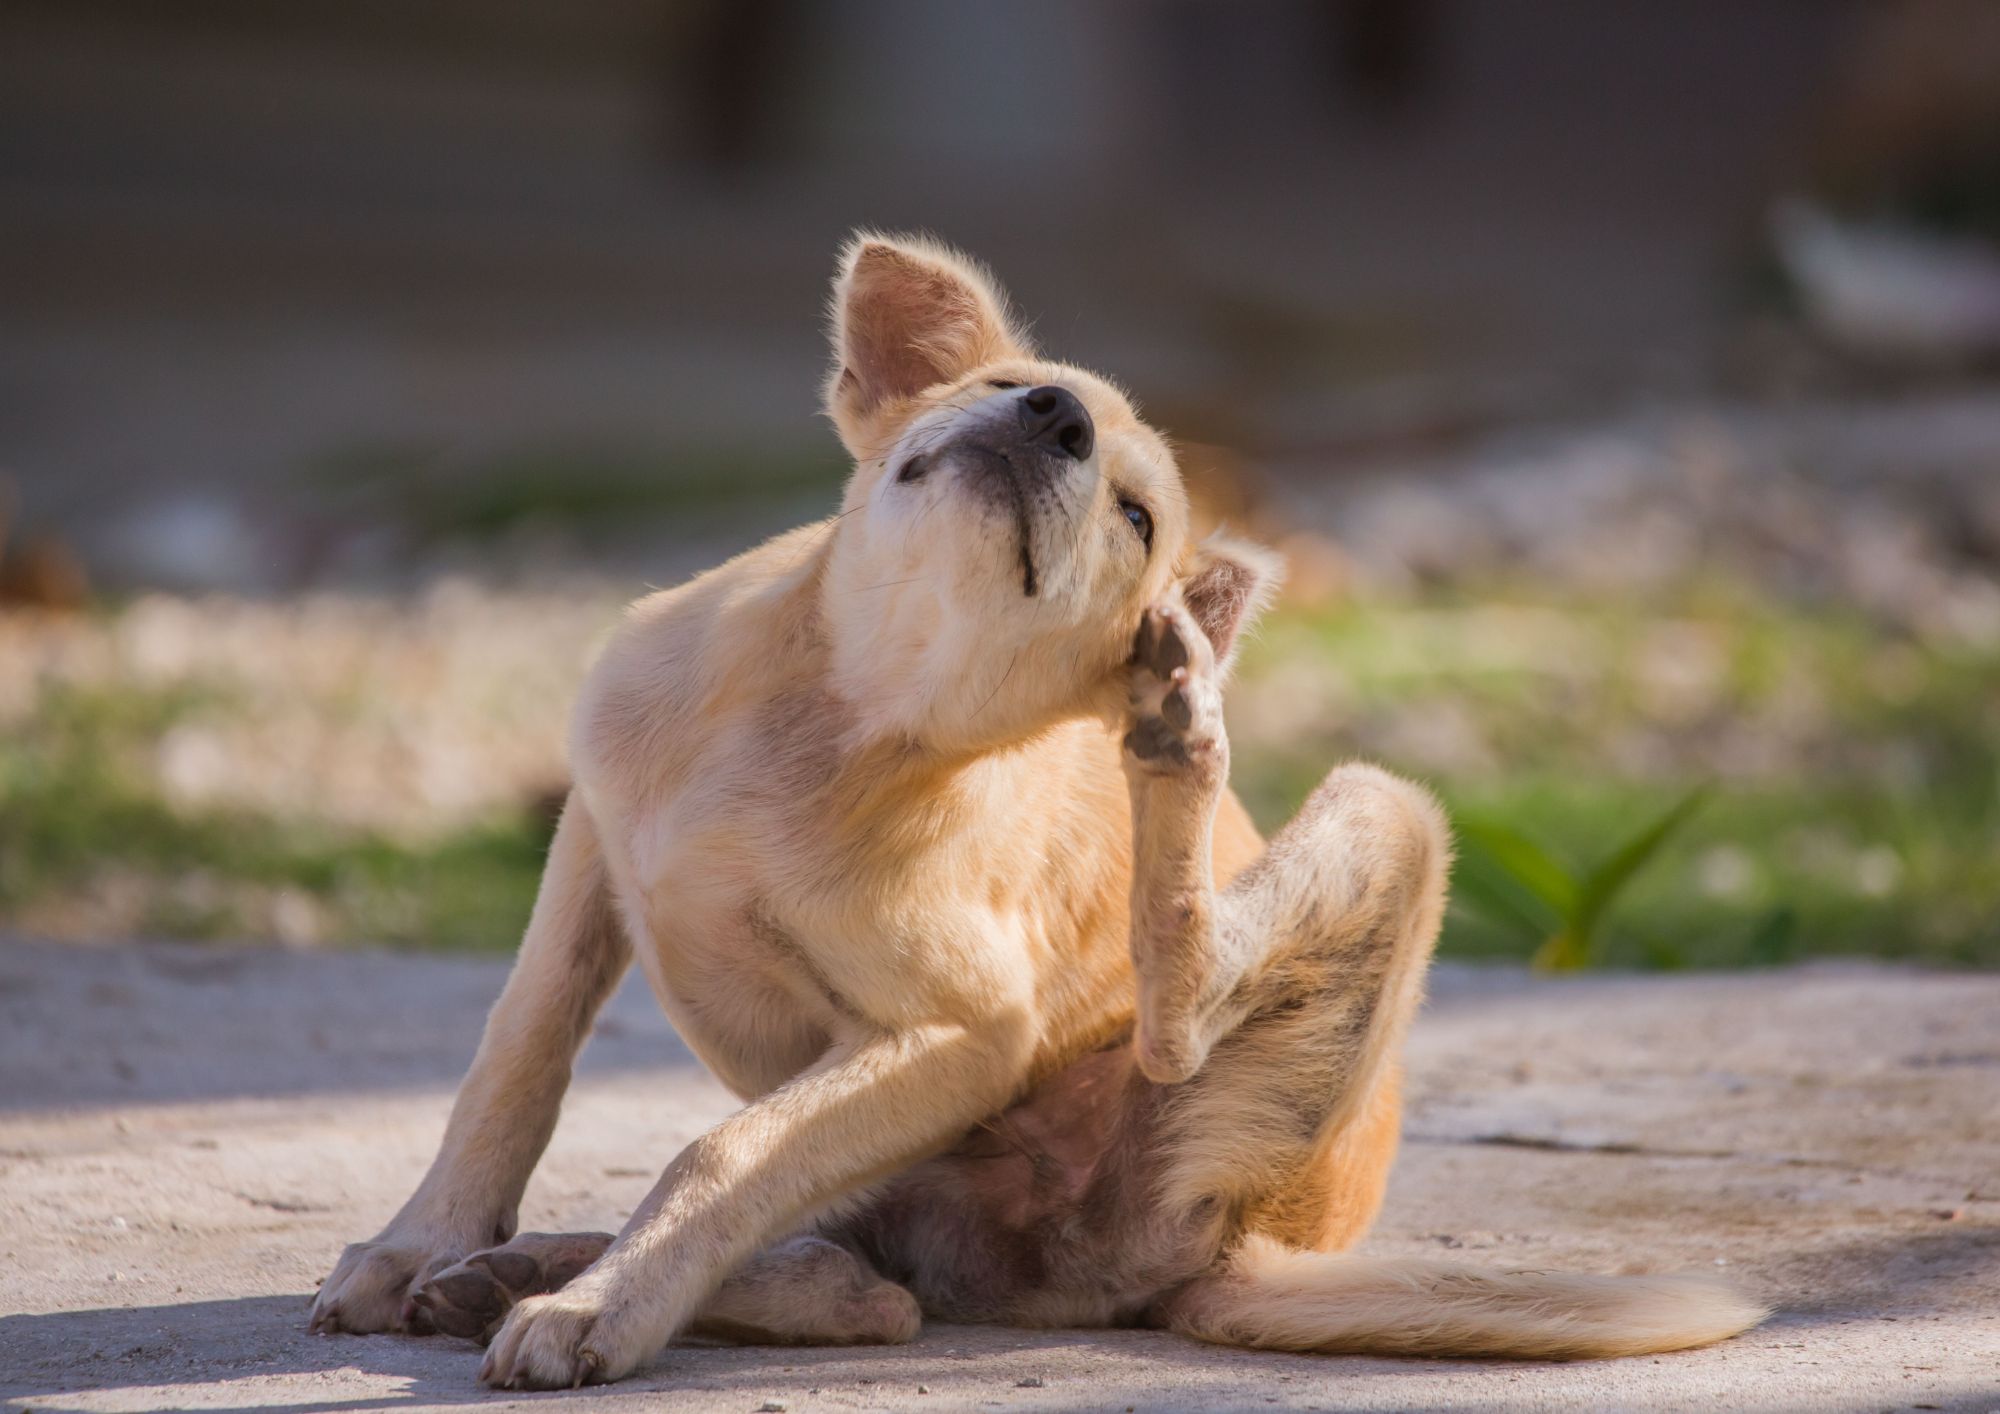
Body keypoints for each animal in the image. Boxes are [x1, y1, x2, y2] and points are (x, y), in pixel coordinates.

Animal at [312, 238, 1768, 1392]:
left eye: (1135, 515)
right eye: (1002, 387)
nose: (1053, 414)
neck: (837, 709)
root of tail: (1252, 1244)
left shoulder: (960, 1030)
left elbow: (720, 1153)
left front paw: (601, 1307)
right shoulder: (591, 846)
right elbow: (516, 1056)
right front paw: (422, 1242)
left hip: (1378, 825)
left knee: (1118, 1063)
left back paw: (1177, 741)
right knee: (868, 1283)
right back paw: (512, 1270)